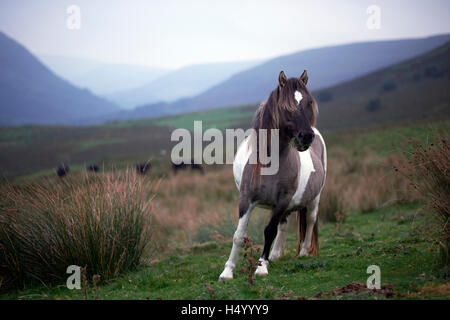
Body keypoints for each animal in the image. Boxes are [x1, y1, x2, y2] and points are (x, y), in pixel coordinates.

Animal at [219, 70, 326, 280]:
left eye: (309, 102)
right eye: (286, 106)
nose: (306, 136)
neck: (270, 164)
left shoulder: (282, 200)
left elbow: (269, 231)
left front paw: (261, 267)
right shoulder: (246, 199)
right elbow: (239, 235)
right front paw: (227, 271)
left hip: (314, 198)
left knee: (310, 219)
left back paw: (303, 251)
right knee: (284, 224)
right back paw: (275, 254)